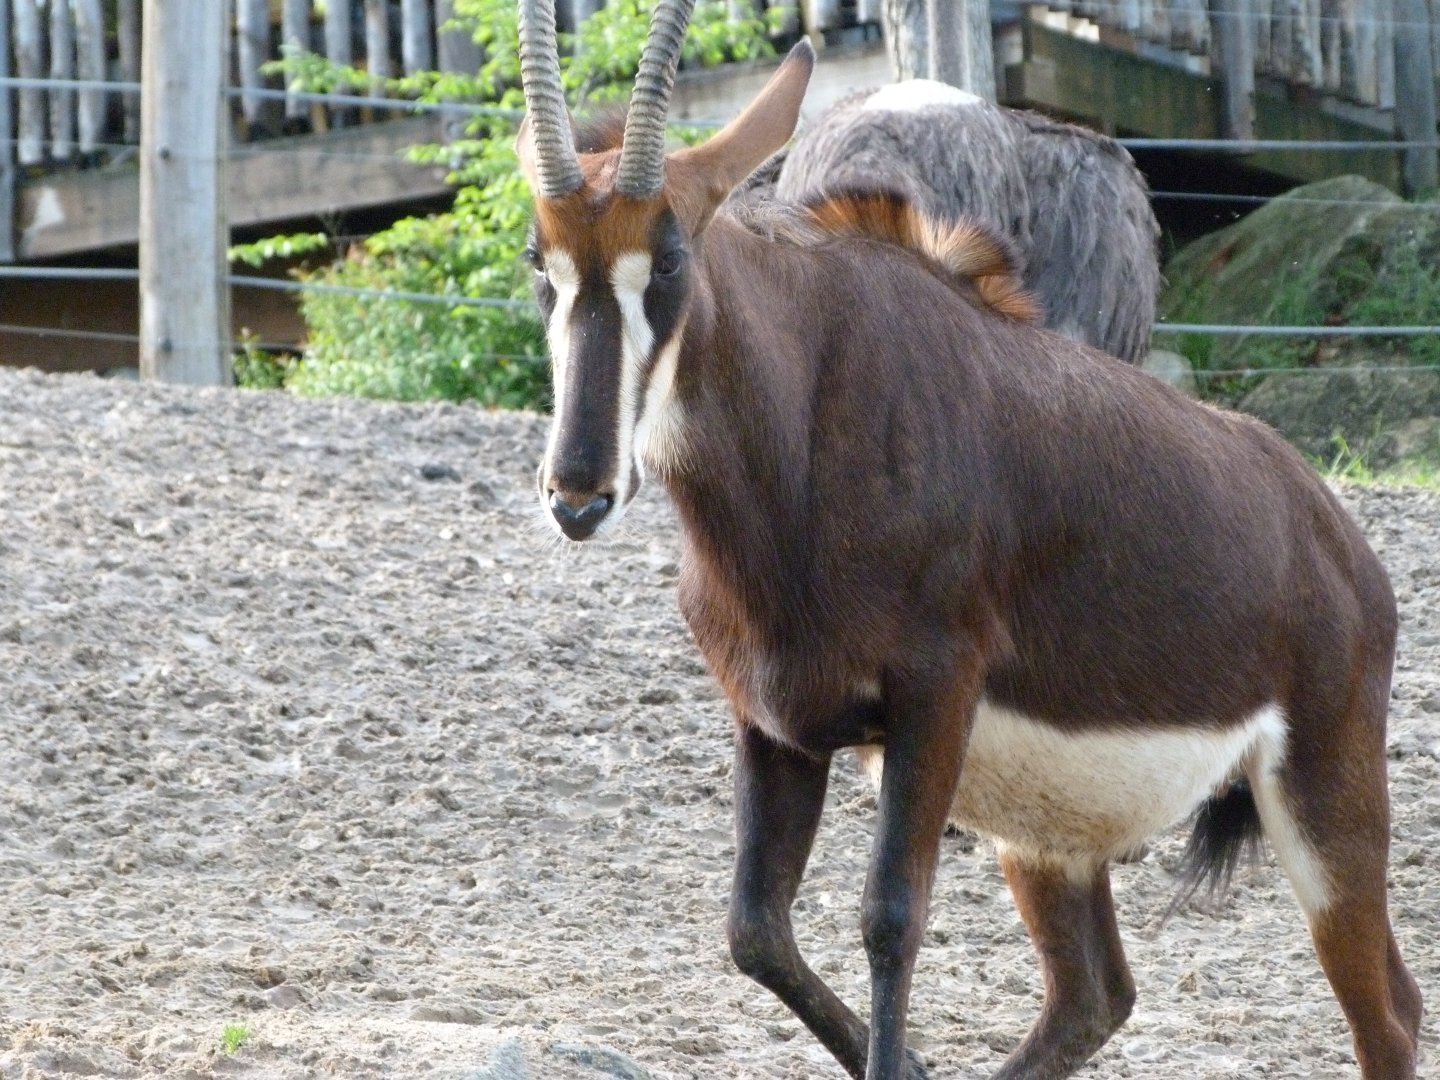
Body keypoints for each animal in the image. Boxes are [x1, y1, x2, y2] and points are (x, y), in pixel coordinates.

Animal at [513, 1, 1423, 1075]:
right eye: (540, 262)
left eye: (670, 258)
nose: (578, 493)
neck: (806, 417)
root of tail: (1337, 539)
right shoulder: (776, 723)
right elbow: (756, 930)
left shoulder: (930, 699)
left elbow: (889, 920)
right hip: (1045, 833)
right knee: (1092, 995)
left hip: (1324, 791)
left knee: (1387, 1013)